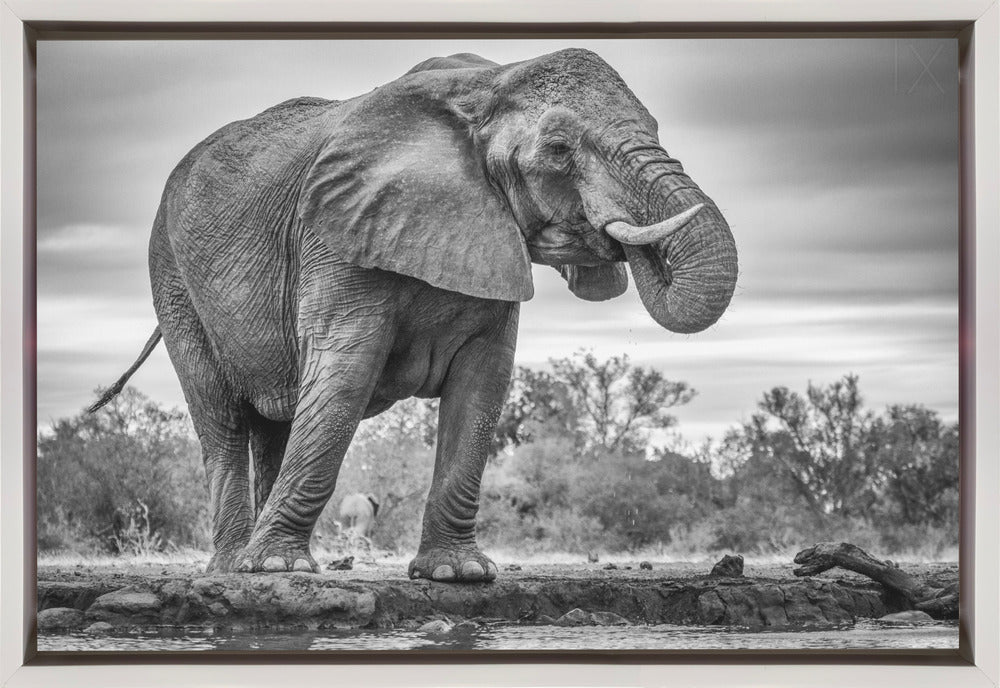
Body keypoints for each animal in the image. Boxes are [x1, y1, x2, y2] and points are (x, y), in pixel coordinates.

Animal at [90, 49, 737, 582]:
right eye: (558, 149)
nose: (626, 241)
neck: (486, 84)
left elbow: (483, 386)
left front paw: (458, 574)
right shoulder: (334, 234)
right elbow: (345, 375)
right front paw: (275, 570)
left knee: (275, 422)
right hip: (172, 275)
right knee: (221, 418)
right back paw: (235, 568)